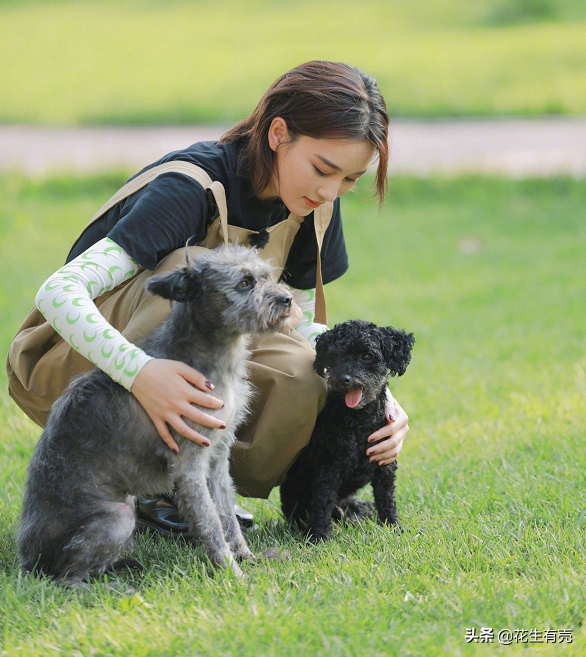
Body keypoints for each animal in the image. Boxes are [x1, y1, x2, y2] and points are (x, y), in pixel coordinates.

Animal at [17, 243, 302, 580]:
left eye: (267, 277)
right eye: (244, 283)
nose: (287, 300)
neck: (208, 354)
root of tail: (28, 561)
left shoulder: (218, 458)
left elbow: (227, 515)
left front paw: (246, 557)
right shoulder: (190, 465)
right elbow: (210, 523)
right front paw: (233, 575)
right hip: (119, 516)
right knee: (67, 579)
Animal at [280, 318, 412, 540]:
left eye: (367, 356)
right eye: (334, 356)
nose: (344, 378)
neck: (359, 422)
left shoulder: (385, 465)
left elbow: (387, 499)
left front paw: (394, 527)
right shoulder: (328, 469)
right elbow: (322, 504)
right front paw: (319, 537)